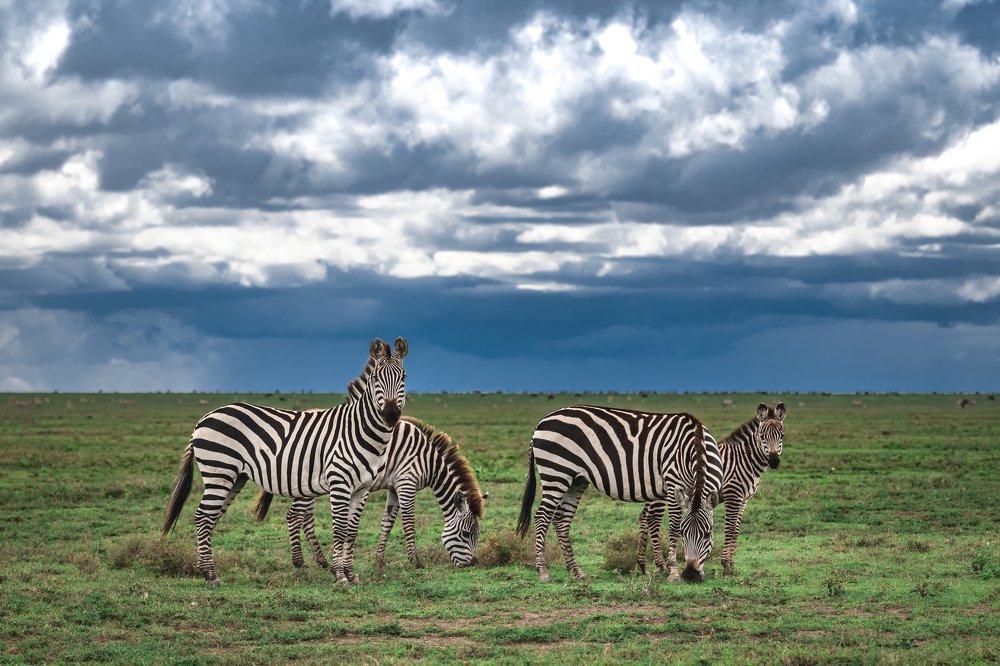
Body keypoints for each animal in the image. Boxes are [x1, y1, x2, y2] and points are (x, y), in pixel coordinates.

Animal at [162, 337, 408, 585]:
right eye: (376, 378)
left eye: (404, 377)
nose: (390, 415)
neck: (358, 429)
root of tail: (204, 418)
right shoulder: (340, 483)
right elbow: (339, 529)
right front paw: (340, 576)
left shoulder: (362, 488)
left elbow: (351, 532)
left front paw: (352, 575)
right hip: (219, 471)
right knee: (203, 516)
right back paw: (211, 575)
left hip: (235, 477)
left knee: (210, 517)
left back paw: (204, 570)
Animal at [251, 415, 488, 569]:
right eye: (466, 534)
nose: (472, 564)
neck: (429, 461)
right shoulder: (407, 482)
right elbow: (409, 522)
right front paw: (415, 561)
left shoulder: (394, 487)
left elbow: (387, 523)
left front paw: (379, 560)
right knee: (294, 516)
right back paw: (299, 563)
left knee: (306, 518)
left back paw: (322, 561)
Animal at [515, 405, 724, 583]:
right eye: (683, 533)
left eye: (708, 534)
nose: (690, 575)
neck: (696, 443)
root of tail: (541, 422)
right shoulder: (673, 483)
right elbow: (671, 525)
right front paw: (672, 572)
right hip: (556, 473)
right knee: (542, 516)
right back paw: (543, 571)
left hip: (576, 480)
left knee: (561, 520)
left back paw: (576, 571)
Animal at [637, 402, 785, 578]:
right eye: (762, 436)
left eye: (782, 435)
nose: (774, 461)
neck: (744, 459)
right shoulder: (733, 494)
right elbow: (729, 529)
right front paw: (725, 566)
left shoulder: (744, 499)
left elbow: (736, 530)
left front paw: (732, 566)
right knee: (653, 520)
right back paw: (660, 565)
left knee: (644, 517)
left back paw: (642, 565)